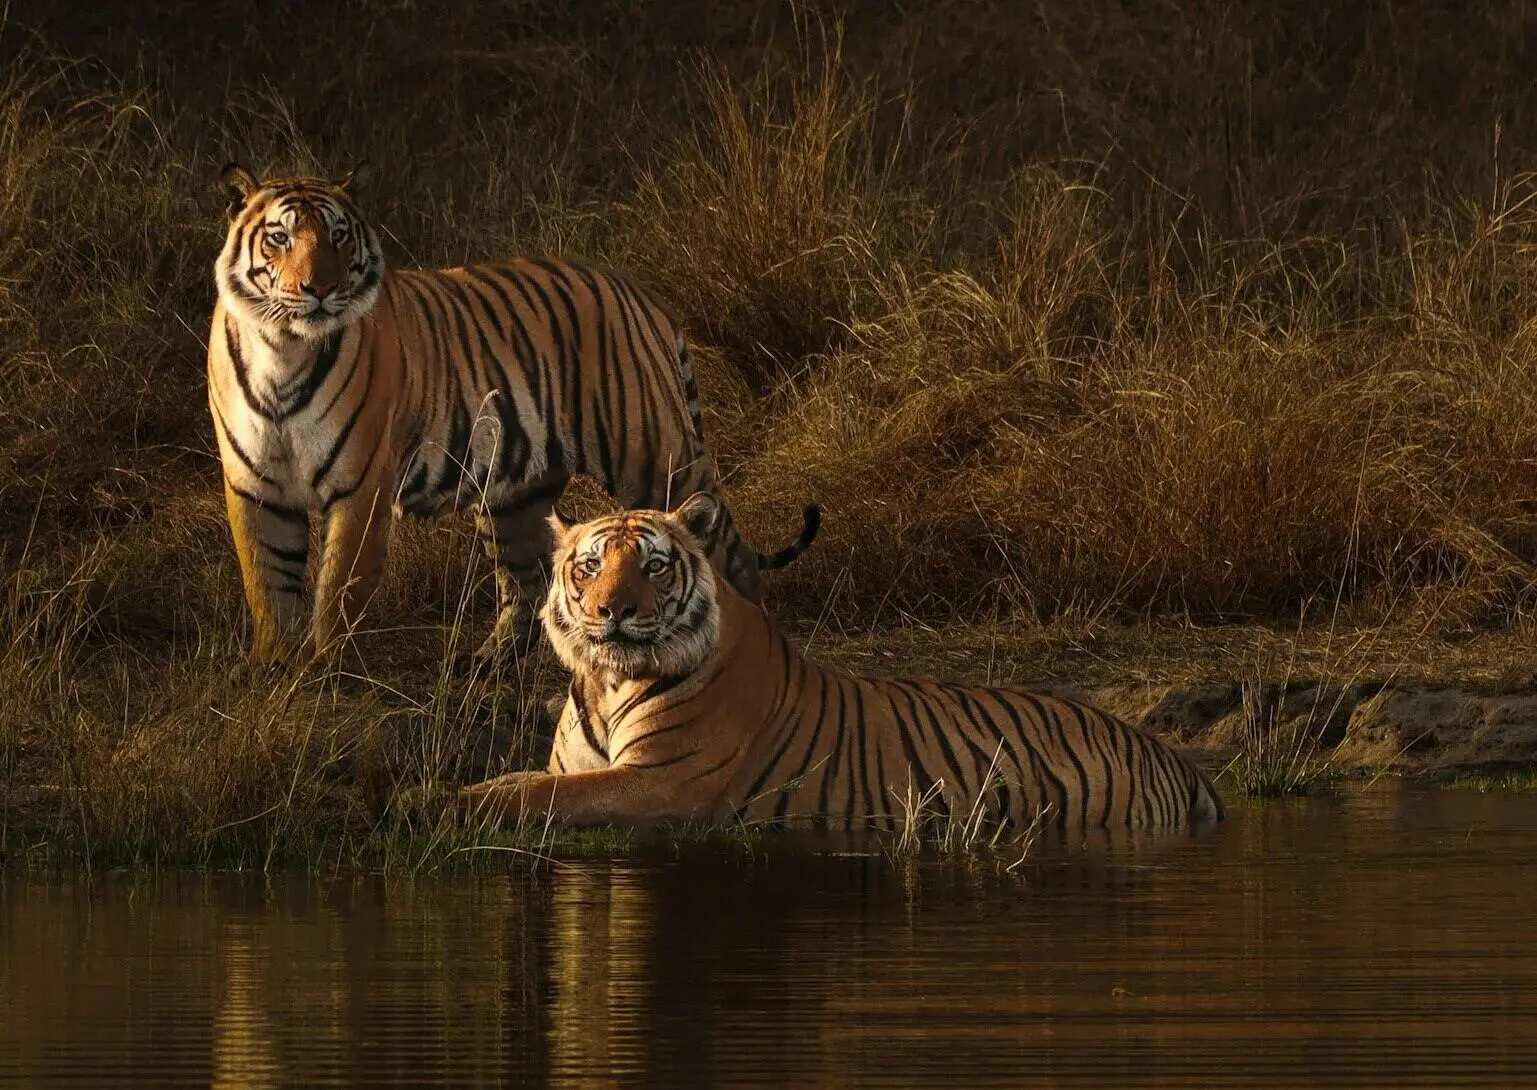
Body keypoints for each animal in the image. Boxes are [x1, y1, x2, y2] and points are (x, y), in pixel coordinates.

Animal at [207, 163, 818, 666]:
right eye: (280, 237)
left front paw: (327, 668)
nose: (319, 289)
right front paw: (276, 668)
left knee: (727, 559)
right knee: (527, 581)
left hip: (657, 459)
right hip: (514, 490)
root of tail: (642, 295)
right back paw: (490, 660)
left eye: (338, 235)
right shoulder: (254, 485)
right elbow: (267, 581)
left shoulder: (359, 486)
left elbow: (338, 586)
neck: (283, 350)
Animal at [456, 496, 1228, 833]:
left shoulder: (662, 784)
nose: (610, 611)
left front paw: (434, 802)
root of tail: (1170, 754)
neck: (606, 679)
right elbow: (523, 782)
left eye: (652, 565)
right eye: (589, 566)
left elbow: (533, 796)